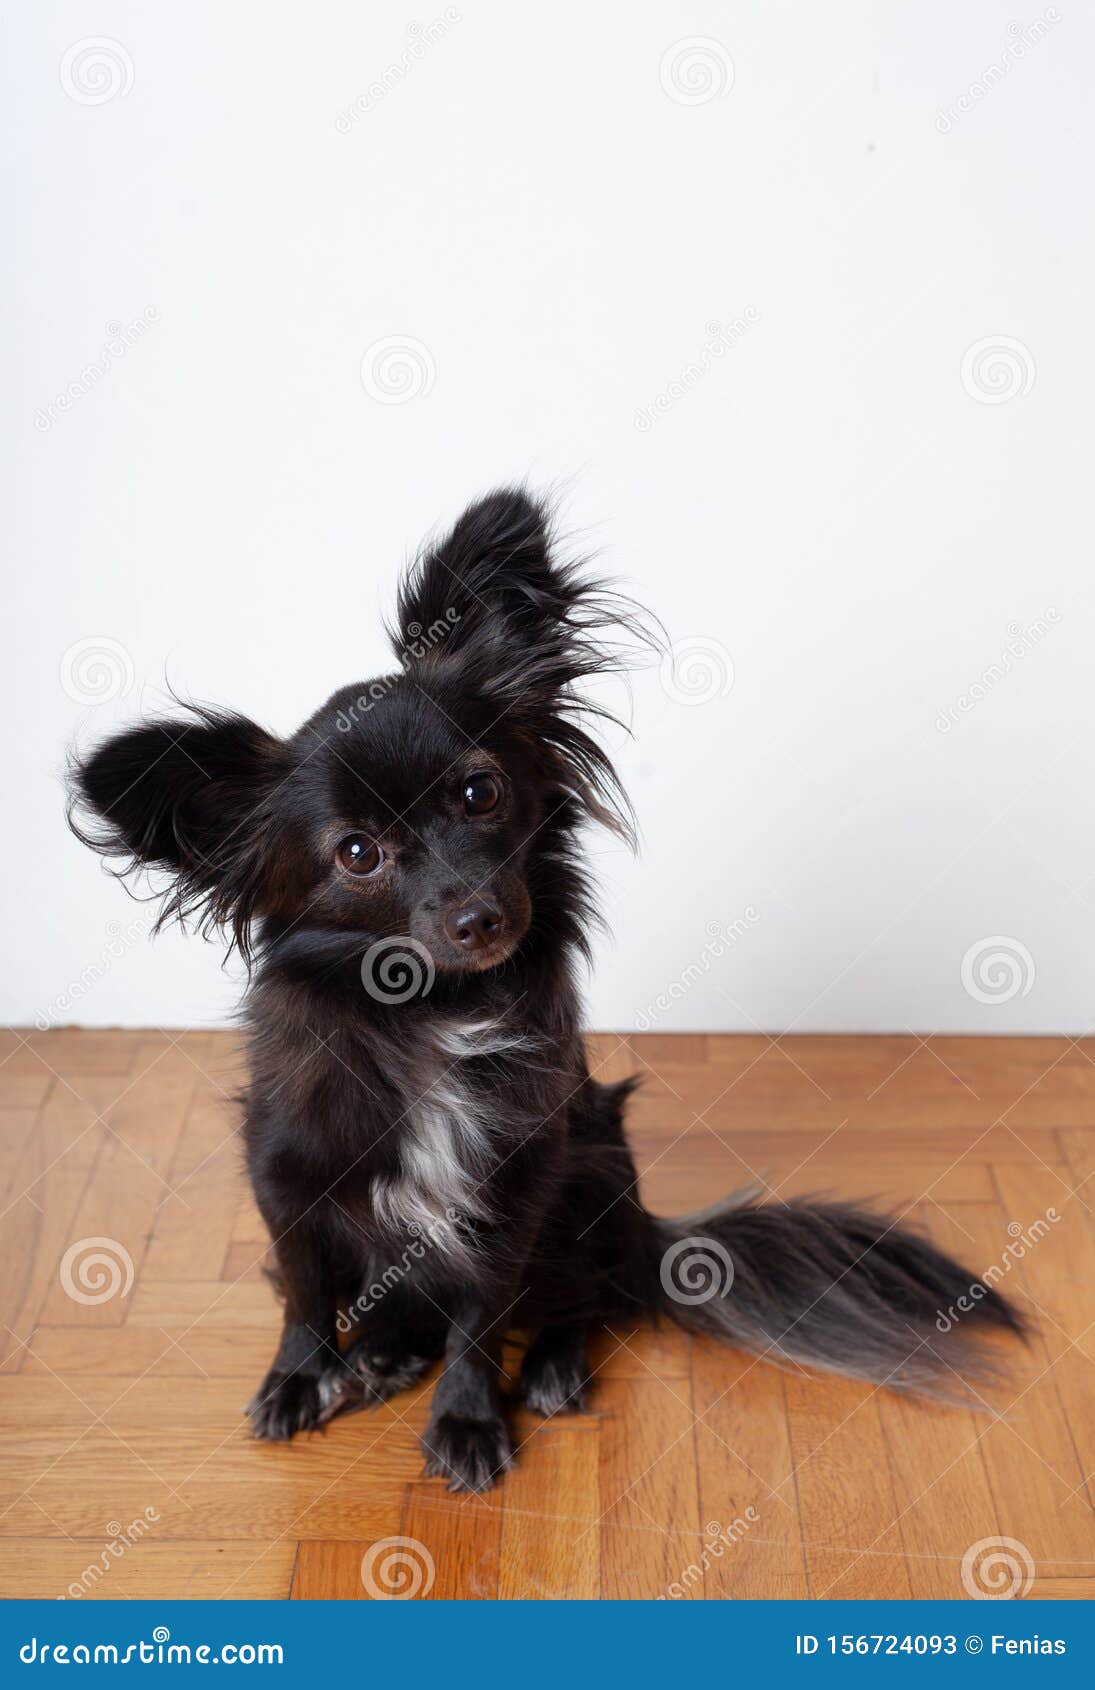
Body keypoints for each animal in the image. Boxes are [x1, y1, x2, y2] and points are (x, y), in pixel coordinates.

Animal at [72, 490, 1020, 1493]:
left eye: (480, 793)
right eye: (357, 854)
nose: (480, 918)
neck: (428, 1013)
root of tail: (651, 1235)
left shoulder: (513, 1187)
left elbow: (482, 1317)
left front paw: (465, 1418)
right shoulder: (286, 1177)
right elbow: (304, 1289)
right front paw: (299, 1378)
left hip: (594, 1172)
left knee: (588, 1299)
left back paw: (548, 1364)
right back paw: (385, 1350)